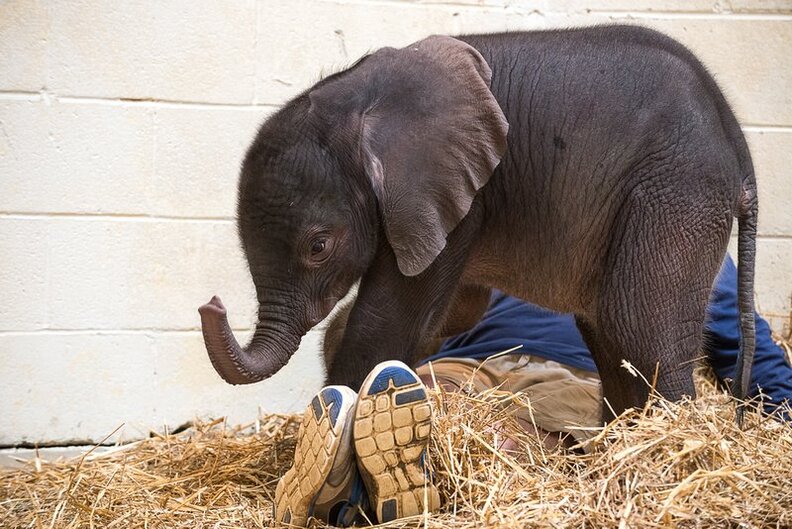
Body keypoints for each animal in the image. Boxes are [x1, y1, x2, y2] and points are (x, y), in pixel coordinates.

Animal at [199, 25, 758, 422]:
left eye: (318, 247)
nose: (211, 304)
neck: (361, 99)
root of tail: (737, 142)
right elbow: (452, 311)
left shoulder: (459, 196)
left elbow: (388, 321)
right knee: (607, 332)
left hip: (677, 187)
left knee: (637, 326)